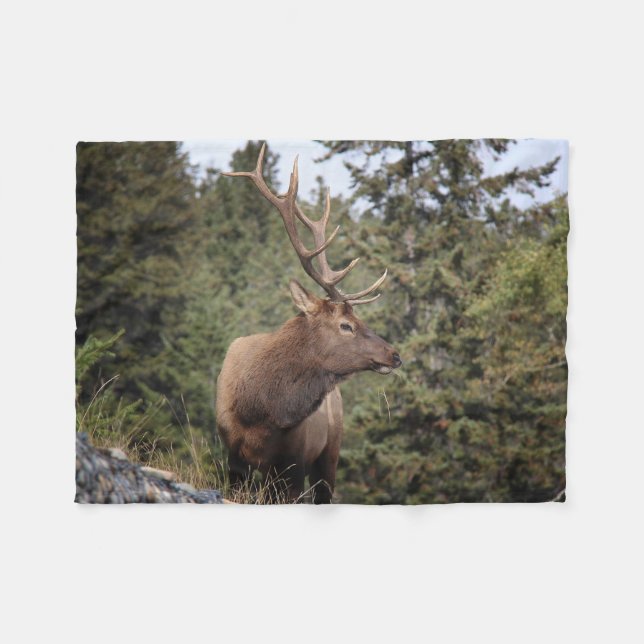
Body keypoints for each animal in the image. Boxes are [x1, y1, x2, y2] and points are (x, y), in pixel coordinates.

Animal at [215, 144, 402, 503]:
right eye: (346, 325)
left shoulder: (293, 462)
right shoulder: (233, 457)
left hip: (330, 451)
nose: (394, 354)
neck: (262, 411)